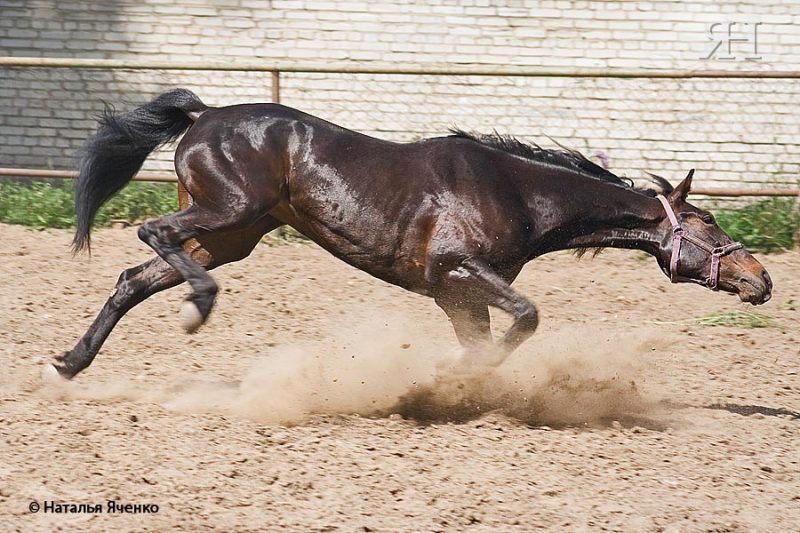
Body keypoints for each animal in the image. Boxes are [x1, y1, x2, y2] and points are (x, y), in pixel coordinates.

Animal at [48, 88, 768, 378]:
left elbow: (489, 337)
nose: (761, 279)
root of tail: (204, 115)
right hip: (227, 212)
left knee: (133, 277)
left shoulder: (458, 293)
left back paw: (70, 362)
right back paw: (197, 305)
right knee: (152, 232)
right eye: (710, 223)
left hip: (232, 234)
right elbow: (527, 317)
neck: (517, 190)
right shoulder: (455, 270)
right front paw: (454, 376)